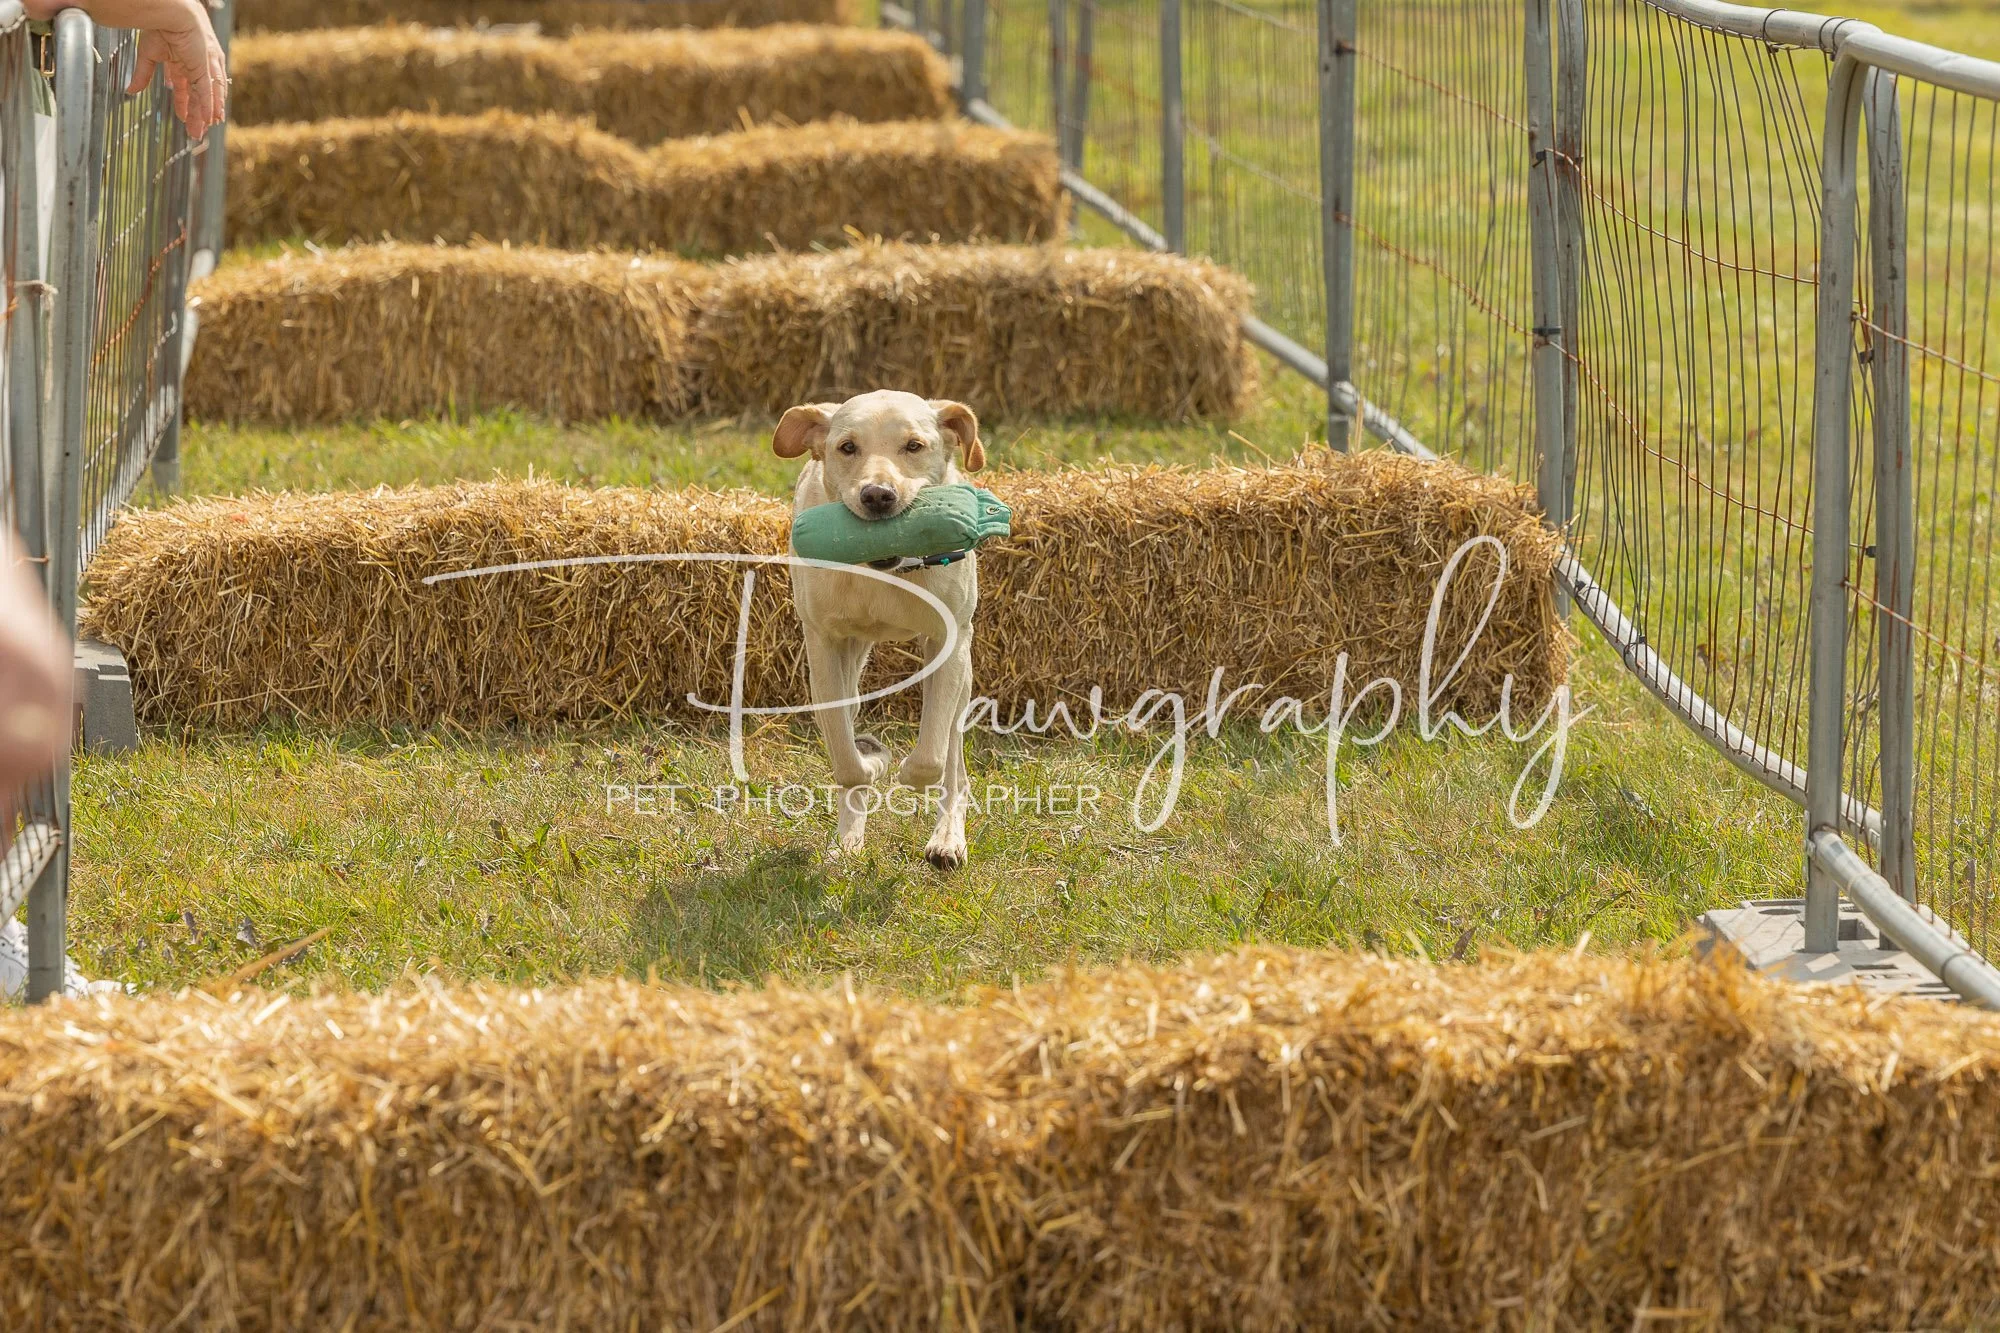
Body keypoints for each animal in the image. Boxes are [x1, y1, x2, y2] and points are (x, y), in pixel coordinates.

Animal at [773, 390, 986, 869]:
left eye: (914, 446)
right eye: (847, 447)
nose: (877, 495)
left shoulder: (949, 643)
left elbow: (932, 754)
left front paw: (908, 772)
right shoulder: (824, 646)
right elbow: (845, 758)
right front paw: (870, 764)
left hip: (963, 666)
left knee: (954, 758)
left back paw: (947, 838)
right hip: (852, 656)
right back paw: (847, 840)